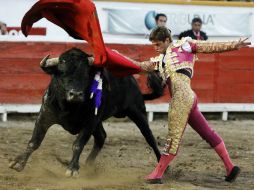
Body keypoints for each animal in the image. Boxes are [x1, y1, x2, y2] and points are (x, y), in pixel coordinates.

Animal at [8, 47, 165, 177]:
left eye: (85, 75)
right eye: (62, 73)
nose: (76, 94)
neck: (69, 107)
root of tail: (131, 79)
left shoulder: (90, 121)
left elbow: (78, 144)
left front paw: (72, 169)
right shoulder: (45, 115)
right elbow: (34, 142)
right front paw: (18, 163)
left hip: (137, 112)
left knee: (150, 138)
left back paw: (162, 168)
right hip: (102, 121)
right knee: (101, 136)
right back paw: (88, 165)